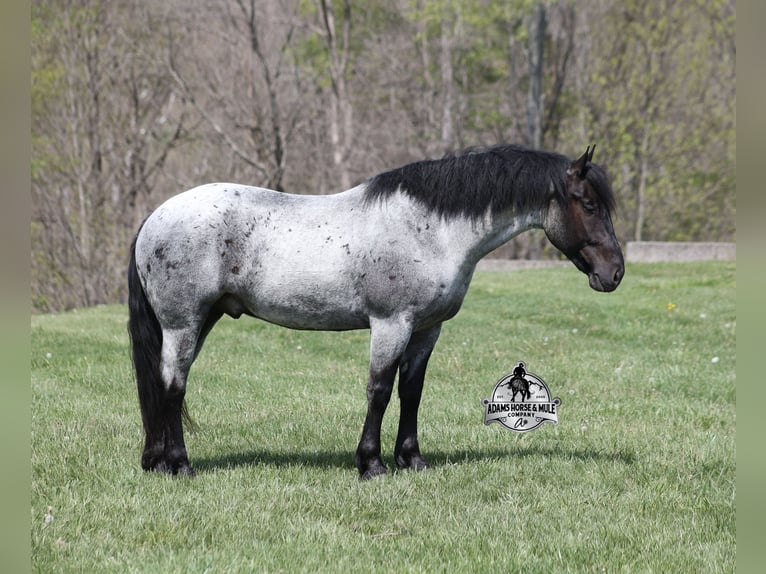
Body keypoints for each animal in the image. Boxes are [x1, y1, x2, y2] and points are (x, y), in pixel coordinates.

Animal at [128, 143, 624, 480]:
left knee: (163, 384)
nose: (614, 273)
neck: (431, 229)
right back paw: (179, 465)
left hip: (200, 321)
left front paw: (412, 459)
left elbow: (411, 392)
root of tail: (154, 217)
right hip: (184, 323)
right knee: (172, 386)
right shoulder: (391, 324)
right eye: (589, 204)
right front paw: (371, 464)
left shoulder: (426, 330)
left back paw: (156, 462)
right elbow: (380, 390)